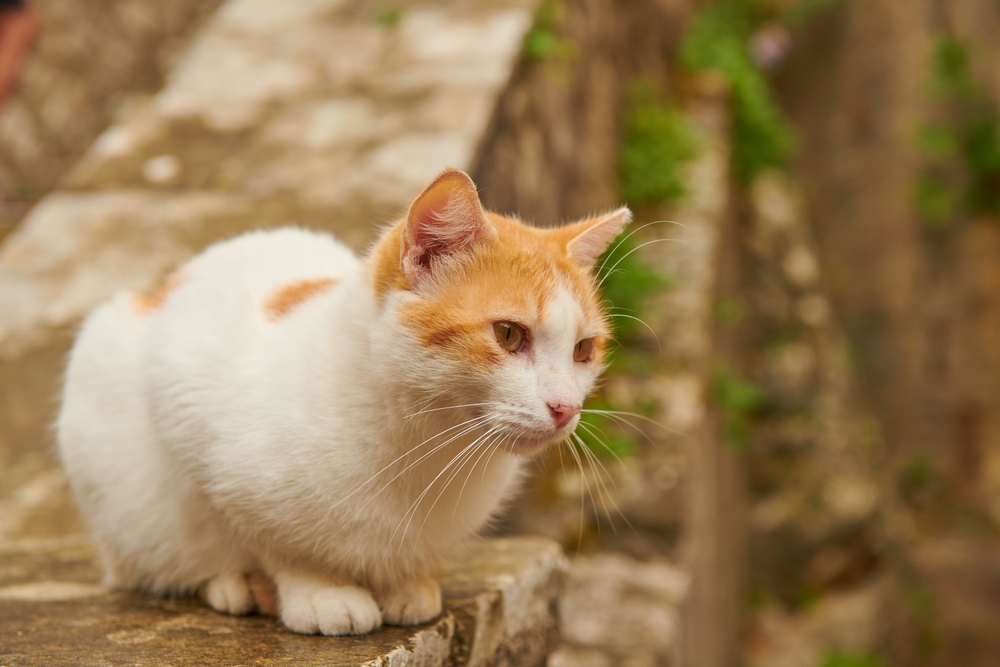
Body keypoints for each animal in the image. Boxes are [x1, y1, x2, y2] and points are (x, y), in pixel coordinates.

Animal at [54, 168, 628, 636]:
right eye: (509, 334)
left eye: (583, 350)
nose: (565, 408)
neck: (424, 447)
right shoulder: (184, 381)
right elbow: (271, 539)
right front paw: (320, 591)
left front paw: (408, 581)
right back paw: (232, 583)